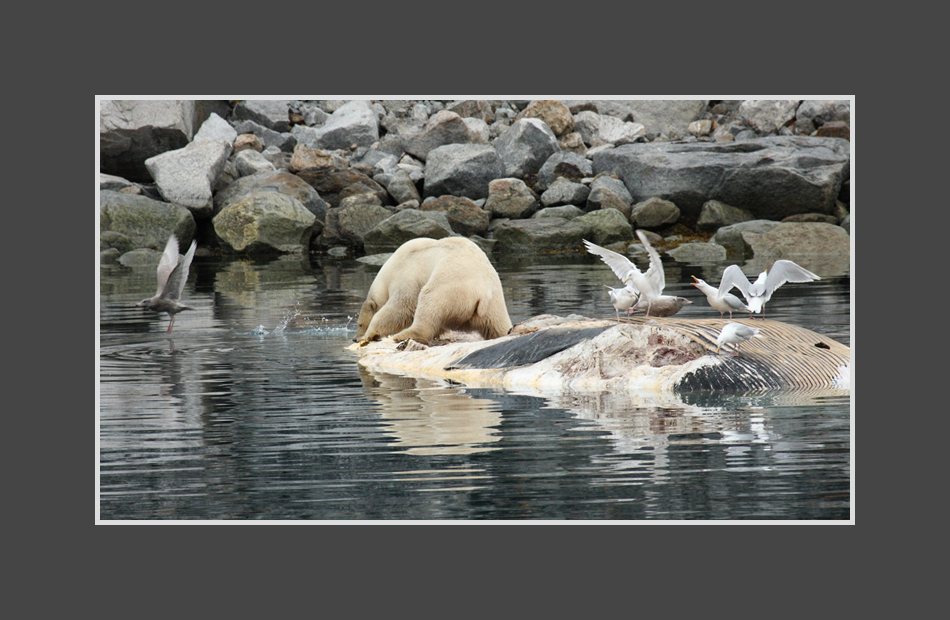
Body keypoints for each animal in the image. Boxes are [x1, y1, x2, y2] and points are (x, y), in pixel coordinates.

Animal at [356, 236, 512, 346]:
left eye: (360, 324)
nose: (354, 338)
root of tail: (482, 293)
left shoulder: (406, 276)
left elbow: (400, 308)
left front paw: (368, 335)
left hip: (448, 286)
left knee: (428, 302)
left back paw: (402, 335)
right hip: (494, 301)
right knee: (497, 324)